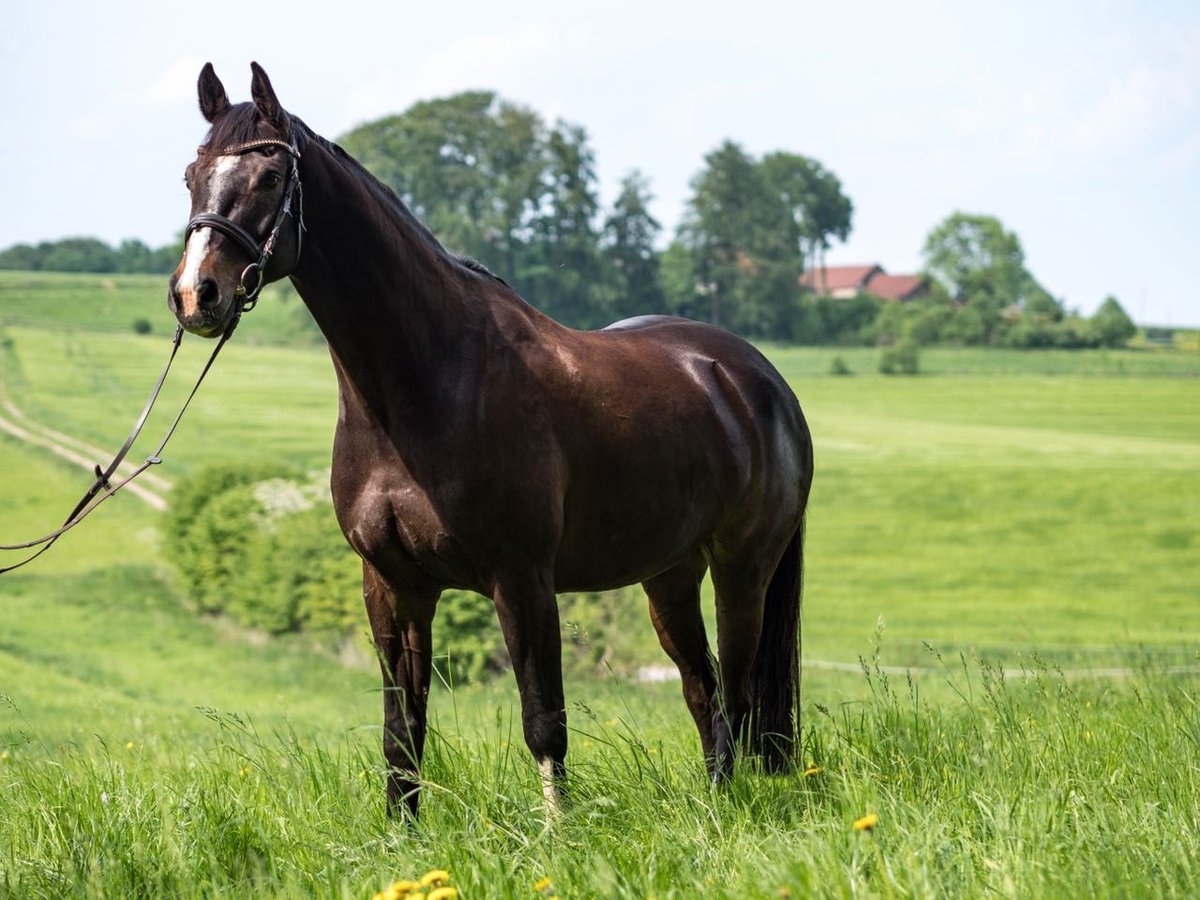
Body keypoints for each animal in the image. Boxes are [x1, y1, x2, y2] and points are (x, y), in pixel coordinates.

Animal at [166, 63, 816, 820]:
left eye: (270, 177)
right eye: (192, 175)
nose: (196, 295)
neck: (428, 381)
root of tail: (758, 379)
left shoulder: (523, 580)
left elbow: (544, 722)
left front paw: (557, 833)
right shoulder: (392, 586)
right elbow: (402, 732)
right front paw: (402, 835)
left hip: (742, 567)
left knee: (736, 693)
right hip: (670, 574)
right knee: (702, 689)